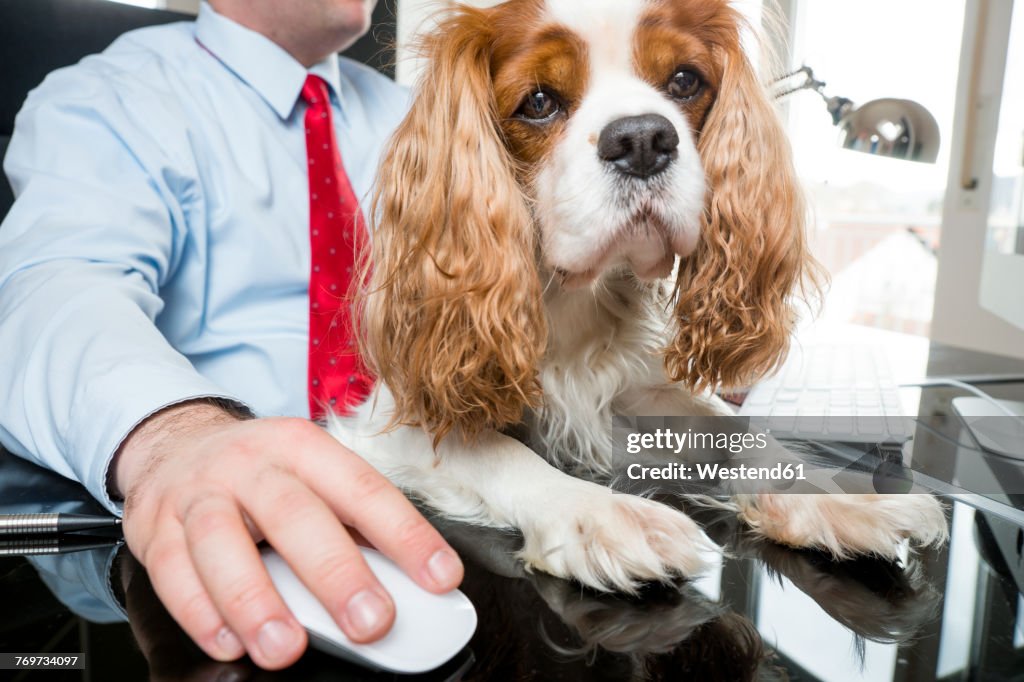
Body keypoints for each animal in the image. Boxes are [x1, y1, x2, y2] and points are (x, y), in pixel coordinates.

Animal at [323, 0, 946, 589]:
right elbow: (500, 452)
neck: (568, 302)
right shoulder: (391, 421)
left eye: (685, 81)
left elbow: (739, 429)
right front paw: (599, 512)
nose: (643, 138)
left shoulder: (638, 395)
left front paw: (832, 494)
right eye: (539, 101)